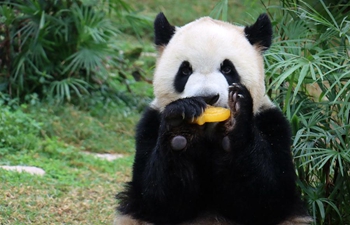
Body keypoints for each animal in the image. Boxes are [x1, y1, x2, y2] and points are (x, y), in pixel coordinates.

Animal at [115, 12, 312, 225]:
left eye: (227, 69)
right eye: (185, 71)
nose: (207, 97)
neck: (209, 130)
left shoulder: (271, 124)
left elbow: (268, 198)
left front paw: (235, 119)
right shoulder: (150, 125)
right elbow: (156, 200)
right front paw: (179, 126)